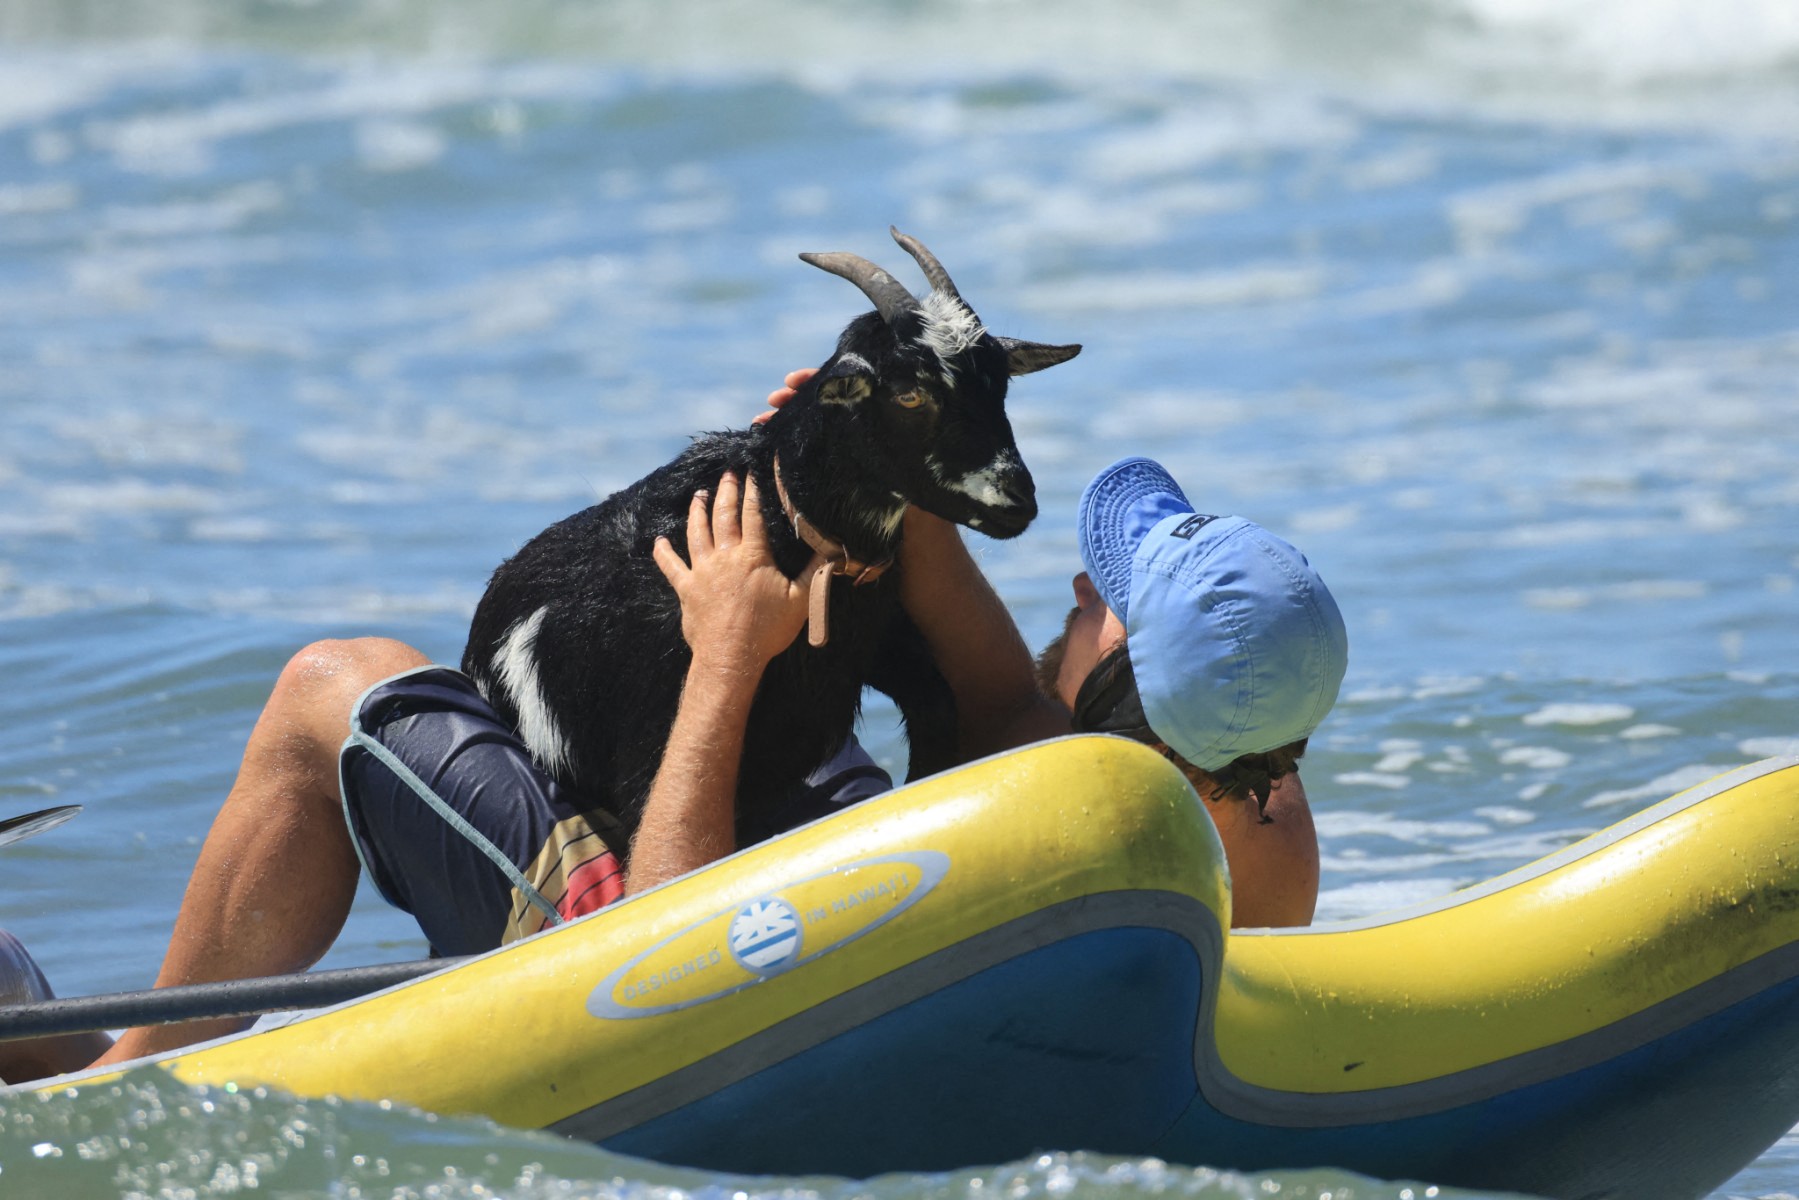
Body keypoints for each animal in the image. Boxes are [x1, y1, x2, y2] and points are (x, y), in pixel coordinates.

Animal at [467, 227, 1079, 845]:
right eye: (910, 394)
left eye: (1000, 385)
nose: (1018, 498)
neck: (783, 516)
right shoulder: (650, 747)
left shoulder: (860, 645)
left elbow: (937, 706)